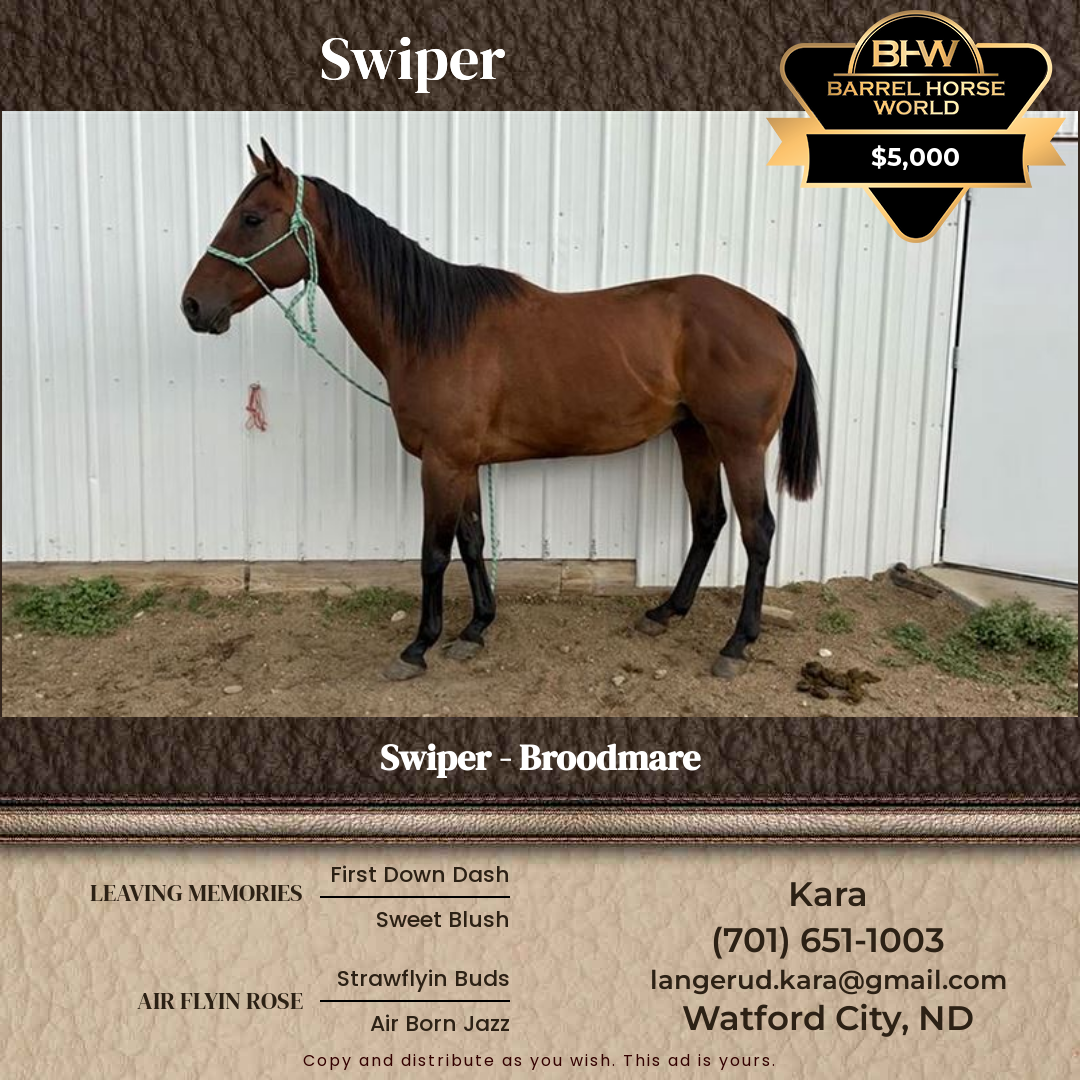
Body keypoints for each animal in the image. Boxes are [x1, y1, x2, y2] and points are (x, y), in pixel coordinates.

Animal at [182, 139, 820, 681]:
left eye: (252, 218)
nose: (192, 305)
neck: (433, 329)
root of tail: (769, 315)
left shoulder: (441, 462)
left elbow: (433, 554)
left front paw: (419, 647)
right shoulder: (462, 462)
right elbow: (472, 540)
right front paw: (474, 629)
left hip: (738, 444)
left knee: (757, 531)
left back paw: (736, 644)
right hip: (694, 435)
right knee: (709, 521)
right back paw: (665, 613)